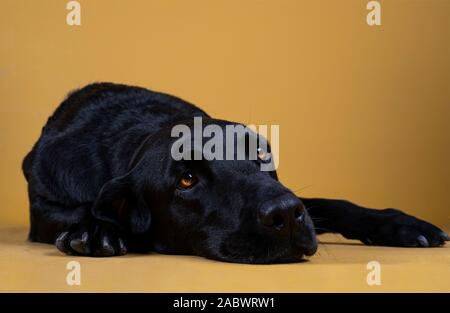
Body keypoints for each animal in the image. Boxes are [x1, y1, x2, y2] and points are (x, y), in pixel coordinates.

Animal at [22, 83, 450, 264]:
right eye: (187, 179)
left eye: (261, 153)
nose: (285, 215)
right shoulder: (46, 208)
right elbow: (83, 211)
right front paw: (96, 230)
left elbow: (330, 203)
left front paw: (402, 224)